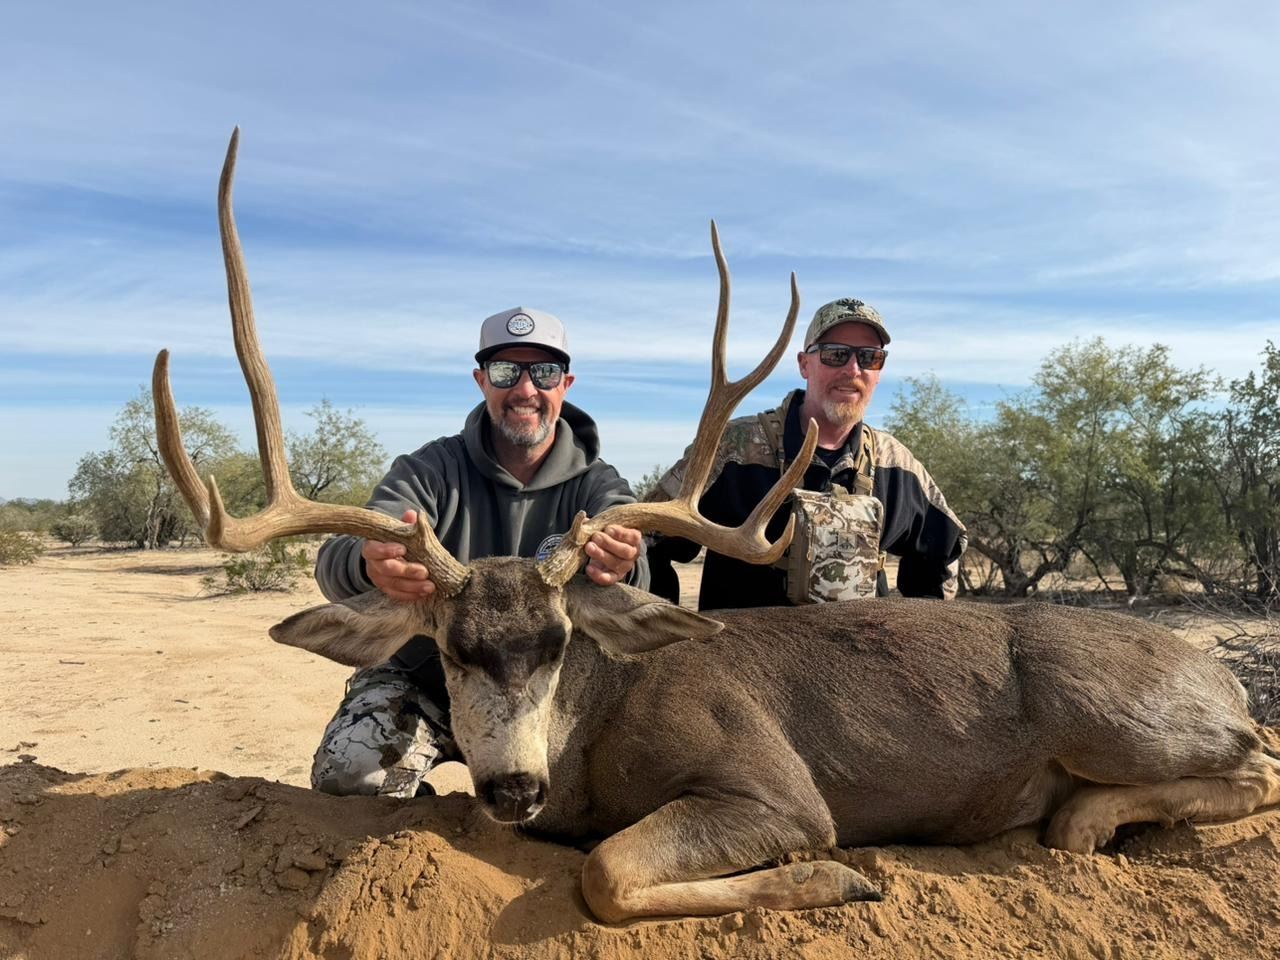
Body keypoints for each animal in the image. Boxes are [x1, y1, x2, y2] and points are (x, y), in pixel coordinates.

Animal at [153, 129, 1280, 924]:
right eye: (451, 647)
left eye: (559, 641)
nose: (513, 785)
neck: (595, 729)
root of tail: (1222, 676)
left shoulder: (774, 789)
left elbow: (608, 872)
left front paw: (840, 880)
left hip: (1110, 716)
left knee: (1254, 764)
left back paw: (1081, 814)